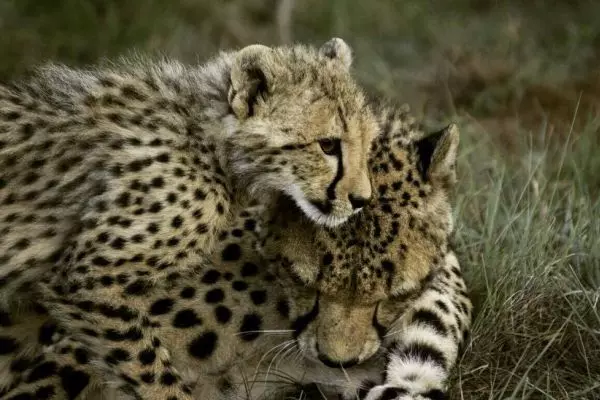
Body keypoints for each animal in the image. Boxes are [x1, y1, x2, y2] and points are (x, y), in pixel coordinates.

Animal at [0, 38, 376, 400]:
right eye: (328, 145)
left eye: (367, 142)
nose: (361, 200)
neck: (209, 141)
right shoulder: (87, 278)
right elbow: (150, 368)